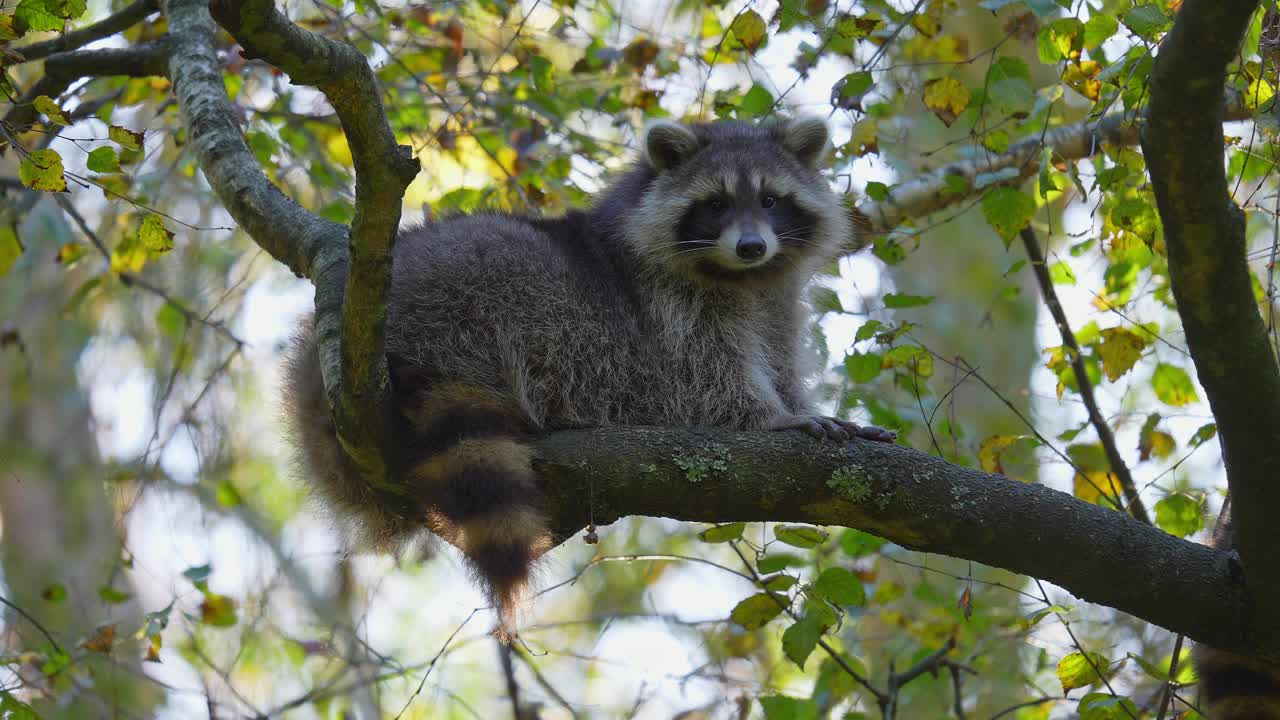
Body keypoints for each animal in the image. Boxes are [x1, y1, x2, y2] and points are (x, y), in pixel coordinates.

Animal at [285, 114, 896, 630]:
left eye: (771, 200)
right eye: (717, 204)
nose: (751, 245)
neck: (740, 277)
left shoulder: (776, 301)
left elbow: (780, 358)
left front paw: (799, 407)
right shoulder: (669, 311)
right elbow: (706, 379)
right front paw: (770, 418)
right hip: (463, 290)